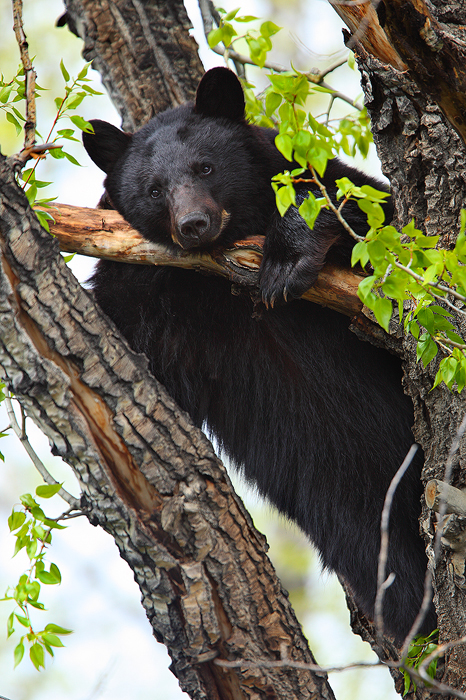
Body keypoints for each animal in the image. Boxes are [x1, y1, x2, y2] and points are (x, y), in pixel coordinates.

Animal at [82, 66, 435, 643]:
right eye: (154, 190)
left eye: (205, 166)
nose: (194, 225)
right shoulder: (144, 290)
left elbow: (372, 215)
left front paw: (286, 262)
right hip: (348, 495)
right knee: (385, 560)